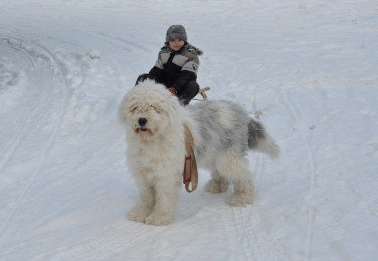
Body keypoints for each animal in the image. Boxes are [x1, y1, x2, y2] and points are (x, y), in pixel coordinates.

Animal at [119, 80, 280, 224]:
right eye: (135, 107)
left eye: (154, 107)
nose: (142, 120)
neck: (153, 139)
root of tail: (241, 113)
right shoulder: (142, 174)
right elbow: (146, 196)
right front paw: (139, 214)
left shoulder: (166, 175)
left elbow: (164, 198)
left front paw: (159, 218)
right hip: (213, 154)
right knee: (221, 173)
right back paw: (217, 186)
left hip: (228, 157)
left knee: (243, 176)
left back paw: (241, 198)